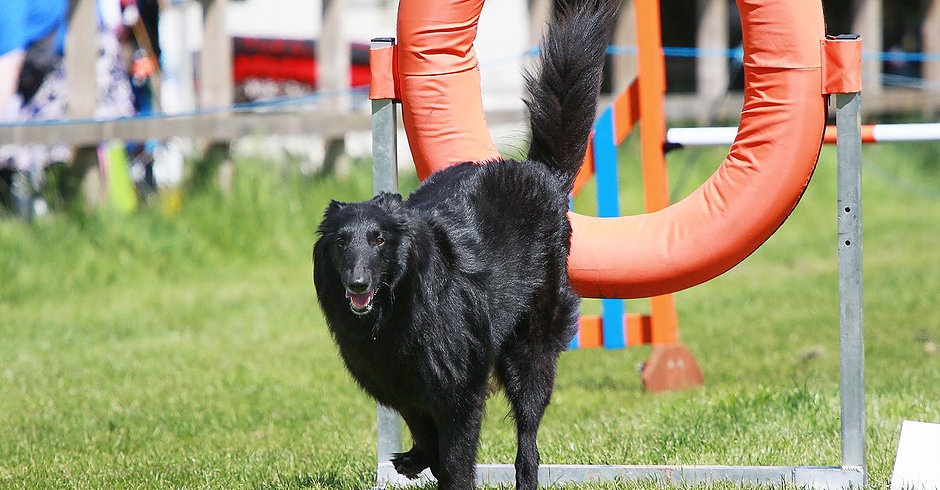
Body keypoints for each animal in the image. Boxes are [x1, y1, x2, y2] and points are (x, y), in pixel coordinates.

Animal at [312, 1, 612, 488]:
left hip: (530, 351)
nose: (356, 284)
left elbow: (454, 460)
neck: (402, 303)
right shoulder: (406, 390)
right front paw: (413, 458)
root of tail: (541, 175)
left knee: (528, 439)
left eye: (378, 239)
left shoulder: (460, 392)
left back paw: (526, 475)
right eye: (342, 242)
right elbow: (427, 441)